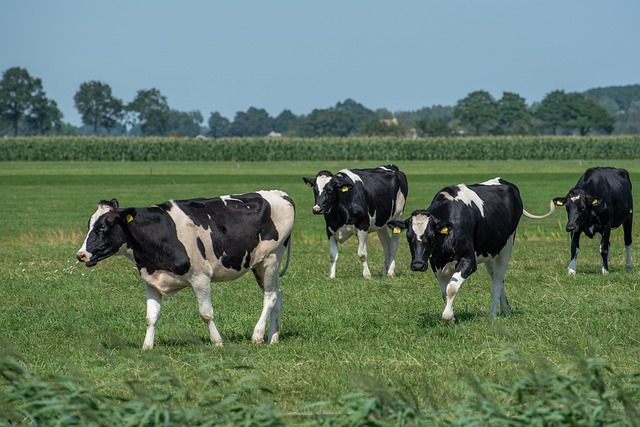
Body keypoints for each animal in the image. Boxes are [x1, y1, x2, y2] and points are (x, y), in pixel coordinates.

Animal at [76, 190, 295, 349]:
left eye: (103, 227)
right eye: (89, 225)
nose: (81, 254)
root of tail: (280, 194)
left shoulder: (201, 278)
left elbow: (206, 313)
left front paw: (218, 342)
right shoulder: (151, 280)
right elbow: (150, 317)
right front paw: (147, 346)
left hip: (271, 258)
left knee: (270, 296)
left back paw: (257, 335)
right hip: (259, 264)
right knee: (278, 293)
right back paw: (273, 337)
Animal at [389, 178, 553, 324]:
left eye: (432, 237)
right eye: (409, 237)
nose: (417, 265)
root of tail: (505, 182)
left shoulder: (468, 261)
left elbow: (451, 288)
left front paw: (448, 318)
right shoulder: (436, 264)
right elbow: (445, 293)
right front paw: (451, 316)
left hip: (506, 247)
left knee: (497, 280)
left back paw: (492, 315)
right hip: (489, 252)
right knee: (496, 278)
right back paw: (506, 309)